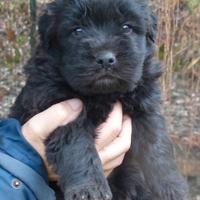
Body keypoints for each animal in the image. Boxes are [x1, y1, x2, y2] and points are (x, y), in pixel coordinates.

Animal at [9, 0, 188, 199]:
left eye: (126, 27)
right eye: (77, 30)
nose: (105, 59)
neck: (104, 93)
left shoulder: (145, 107)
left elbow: (156, 145)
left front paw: (170, 185)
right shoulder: (61, 111)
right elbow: (78, 148)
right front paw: (88, 188)